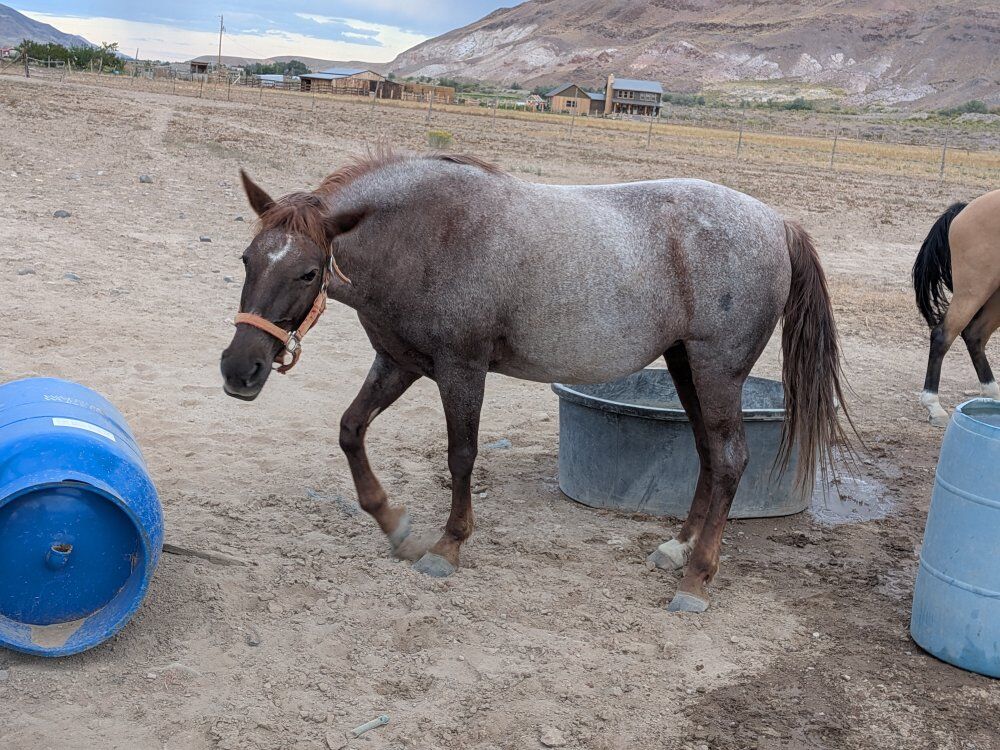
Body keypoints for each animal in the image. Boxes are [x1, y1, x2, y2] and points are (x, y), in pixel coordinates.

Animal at [220, 152, 851, 613]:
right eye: (248, 259)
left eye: (308, 272)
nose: (238, 370)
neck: (426, 234)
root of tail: (776, 222)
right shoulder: (399, 362)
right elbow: (351, 430)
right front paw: (395, 526)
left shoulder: (460, 370)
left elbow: (461, 456)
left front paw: (447, 547)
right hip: (685, 365)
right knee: (707, 453)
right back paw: (678, 548)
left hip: (717, 370)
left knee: (730, 459)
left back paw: (696, 581)